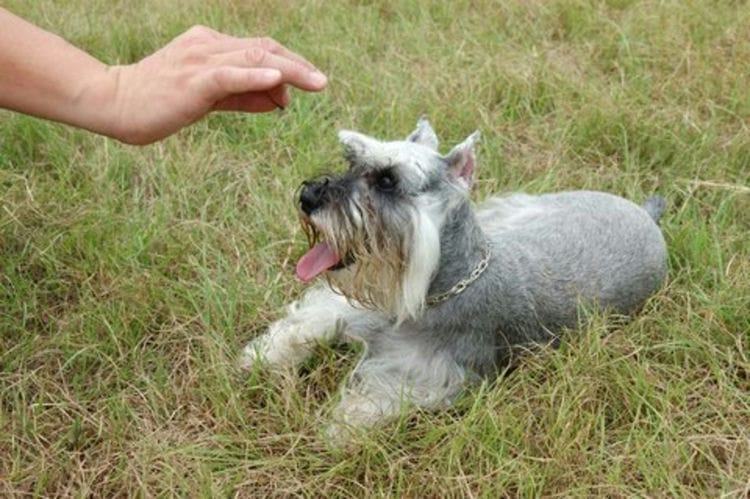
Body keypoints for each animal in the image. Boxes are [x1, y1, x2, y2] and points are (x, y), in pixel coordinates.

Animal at [238, 117, 668, 438]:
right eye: (352, 162)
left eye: (388, 180)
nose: (308, 197)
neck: (439, 288)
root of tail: (644, 212)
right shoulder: (353, 309)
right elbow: (306, 324)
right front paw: (260, 356)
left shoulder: (433, 375)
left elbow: (373, 401)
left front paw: (336, 429)